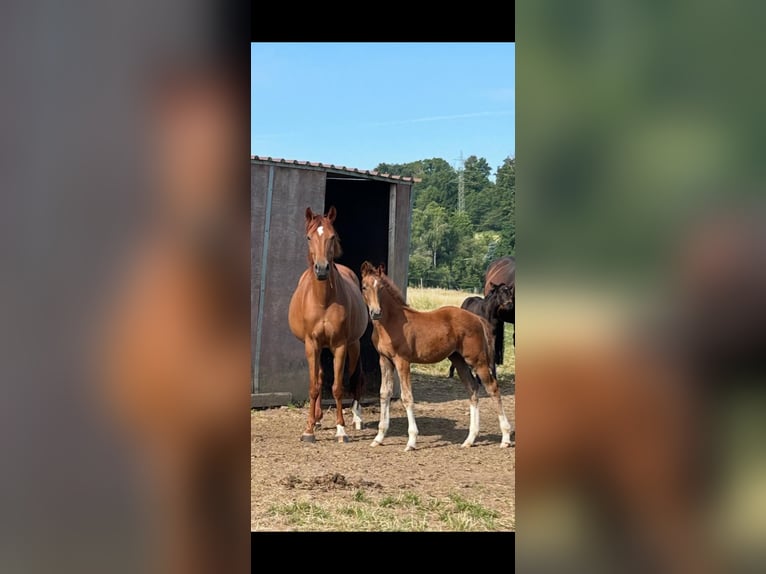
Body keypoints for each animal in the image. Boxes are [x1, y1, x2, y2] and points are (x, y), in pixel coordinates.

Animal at [288, 206, 369, 443]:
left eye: (332, 236)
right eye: (308, 237)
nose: (322, 269)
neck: (323, 299)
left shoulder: (340, 345)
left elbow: (338, 387)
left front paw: (341, 429)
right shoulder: (311, 344)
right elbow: (314, 387)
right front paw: (308, 429)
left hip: (354, 345)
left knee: (355, 377)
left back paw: (357, 418)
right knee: (321, 376)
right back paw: (317, 418)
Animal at [360, 261, 514, 451]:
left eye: (380, 288)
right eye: (364, 286)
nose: (376, 312)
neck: (391, 323)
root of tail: (477, 319)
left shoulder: (402, 361)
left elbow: (407, 397)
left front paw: (411, 441)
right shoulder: (385, 359)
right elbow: (384, 394)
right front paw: (379, 437)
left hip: (478, 361)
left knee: (493, 388)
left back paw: (505, 438)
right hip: (458, 360)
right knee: (472, 389)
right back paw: (469, 439)